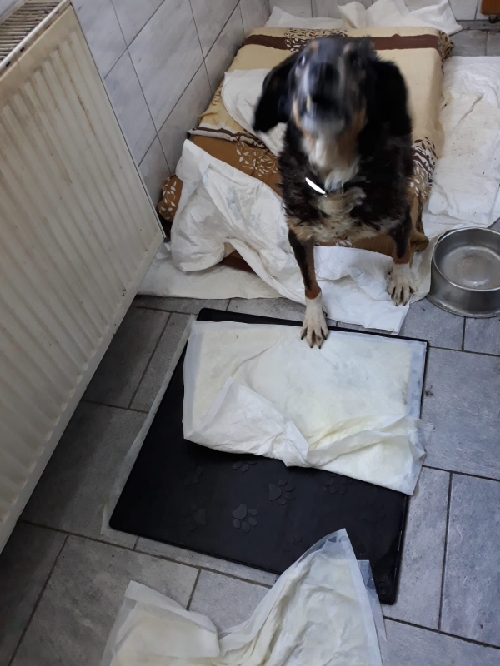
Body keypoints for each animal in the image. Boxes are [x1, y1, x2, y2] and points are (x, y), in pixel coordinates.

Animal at [253, 36, 416, 347]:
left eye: (356, 61)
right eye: (303, 61)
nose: (323, 70)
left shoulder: (400, 215)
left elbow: (402, 252)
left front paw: (400, 279)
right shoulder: (298, 234)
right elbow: (309, 282)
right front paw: (314, 317)